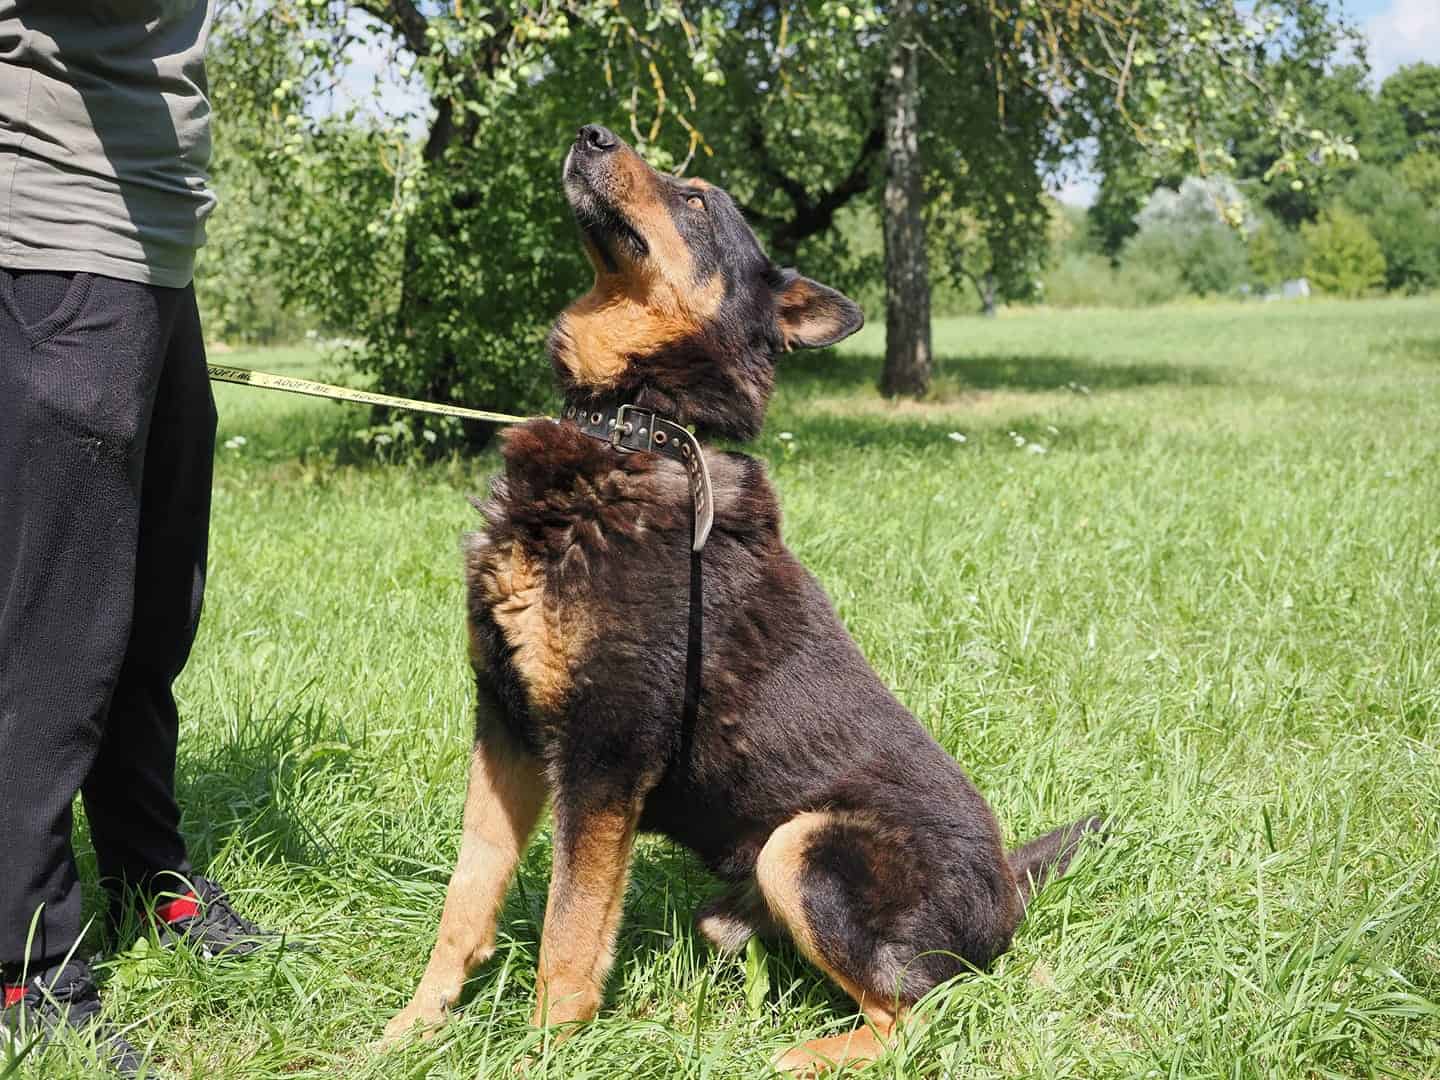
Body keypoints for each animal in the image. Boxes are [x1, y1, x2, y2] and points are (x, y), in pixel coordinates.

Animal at [380, 123, 1103, 1073]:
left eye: (695, 198)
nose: (590, 133)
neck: (632, 425)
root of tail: (1011, 896)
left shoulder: (605, 749)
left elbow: (567, 936)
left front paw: (544, 1052)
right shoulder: (505, 723)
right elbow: (466, 899)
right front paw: (414, 1028)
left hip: (803, 846)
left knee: (924, 1008)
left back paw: (805, 1055)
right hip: (739, 897)